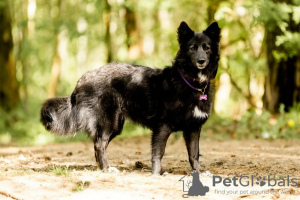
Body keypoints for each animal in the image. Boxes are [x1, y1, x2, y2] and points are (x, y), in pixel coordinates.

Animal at [40, 21, 220, 175]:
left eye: (207, 48)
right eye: (192, 48)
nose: (201, 61)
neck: (190, 82)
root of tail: (84, 78)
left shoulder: (194, 128)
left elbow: (194, 154)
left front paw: (198, 173)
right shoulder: (162, 126)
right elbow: (158, 153)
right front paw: (156, 174)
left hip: (115, 125)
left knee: (97, 145)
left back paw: (102, 168)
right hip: (109, 122)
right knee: (99, 144)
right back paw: (107, 169)